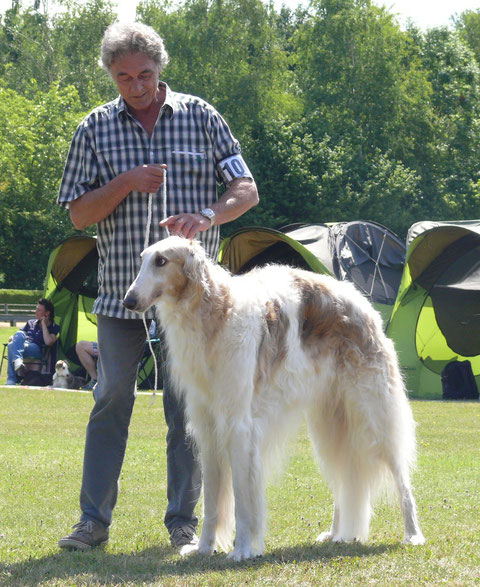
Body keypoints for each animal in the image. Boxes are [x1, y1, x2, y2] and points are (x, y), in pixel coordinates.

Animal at [124, 234, 424, 560]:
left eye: (161, 261)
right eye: (142, 258)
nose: (127, 301)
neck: (215, 313)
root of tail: (363, 304)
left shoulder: (239, 427)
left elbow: (242, 500)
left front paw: (242, 549)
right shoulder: (208, 428)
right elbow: (212, 502)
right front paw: (203, 548)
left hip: (374, 413)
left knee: (402, 480)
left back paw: (413, 535)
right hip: (330, 423)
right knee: (344, 479)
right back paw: (335, 534)